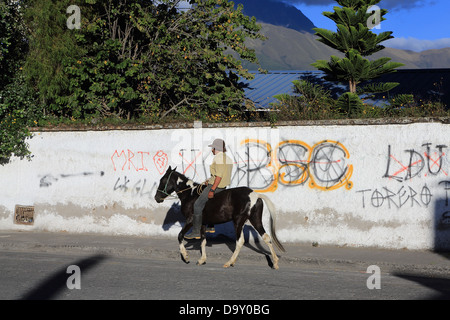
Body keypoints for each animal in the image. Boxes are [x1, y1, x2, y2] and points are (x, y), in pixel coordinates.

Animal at [155, 166, 284, 268]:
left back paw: (229, 262)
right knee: (266, 237)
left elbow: (180, 235)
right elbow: (203, 241)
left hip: (238, 221)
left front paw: (186, 256)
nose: (156, 198)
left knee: (240, 241)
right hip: (255, 220)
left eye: (163, 180)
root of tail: (255, 194)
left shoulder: (191, 220)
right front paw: (202, 259)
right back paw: (275, 262)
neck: (190, 194)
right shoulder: (203, 223)